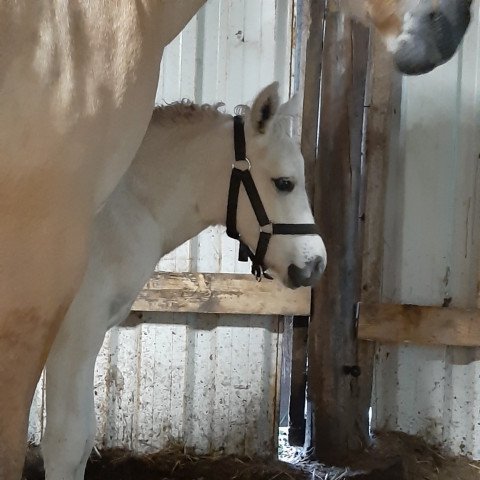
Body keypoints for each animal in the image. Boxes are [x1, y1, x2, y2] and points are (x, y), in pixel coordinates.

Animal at [40, 84, 326, 480]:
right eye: (284, 183)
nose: (315, 264)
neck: (117, 209)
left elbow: (83, 440)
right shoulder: (72, 333)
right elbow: (65, 444)